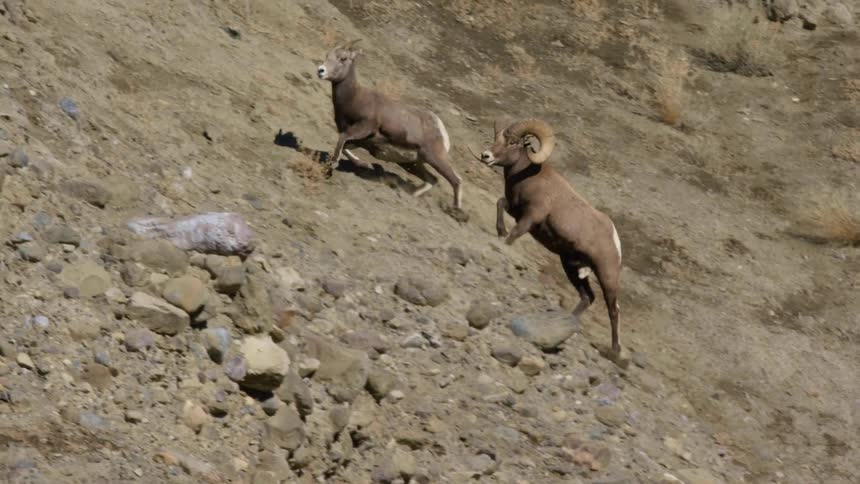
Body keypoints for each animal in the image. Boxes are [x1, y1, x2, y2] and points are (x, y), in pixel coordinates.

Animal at [317, 40, 463, 210]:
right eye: (327, 55)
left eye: (343, 58)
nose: (321, 71)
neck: (354, 99)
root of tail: (440, 128)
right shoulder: (361, 141)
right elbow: (345, 147)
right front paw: (363, 164)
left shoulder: (363, 128)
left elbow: (342, 140)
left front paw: (333, 165)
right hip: (413, 163)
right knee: (432, 179)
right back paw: (412, 196)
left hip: (435, 158)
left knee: (456, 180)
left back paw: (456, 210)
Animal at [471, 119, 625, 359]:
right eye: (496, 138)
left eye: (512, 142)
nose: (486, 155)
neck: (529, 178)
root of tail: (615, 239)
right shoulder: (515, 209)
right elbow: (499, 204)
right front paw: (500, 232)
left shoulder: (530, 218)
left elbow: (514, 234)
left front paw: (503, 241)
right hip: (571, 267)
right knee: (587, 298)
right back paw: (568, 322)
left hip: (606, 276)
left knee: (613, 310)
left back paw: (615, 351)